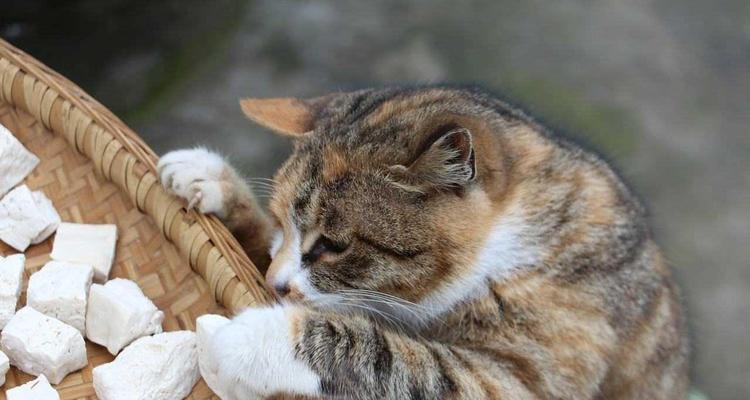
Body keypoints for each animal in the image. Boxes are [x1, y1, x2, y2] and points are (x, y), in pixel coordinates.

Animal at [160, 86, 692, 398]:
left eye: (333, 245)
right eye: (282, 222)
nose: (274, 285)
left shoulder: (527, 376)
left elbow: (403, 359)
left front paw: (246, 338)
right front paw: (208, 179)